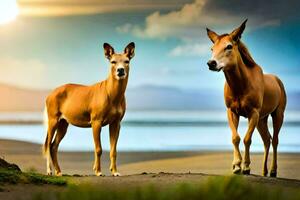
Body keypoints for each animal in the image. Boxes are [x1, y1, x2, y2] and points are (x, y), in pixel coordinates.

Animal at [42, 42, 135, 177]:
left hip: (64, 123)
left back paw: (59, 171)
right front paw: (98, 171)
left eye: (126, 61)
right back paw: (49, 171)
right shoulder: (96, 120)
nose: (120, 70)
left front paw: (115, 172)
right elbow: (98, 148)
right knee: (48, 144)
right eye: (113, 62)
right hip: (53, 118)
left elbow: (114, 150)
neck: (112, 95)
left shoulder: (116, 122)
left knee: (54, 145)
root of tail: (49, 95)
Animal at [206, 19, 286, 177]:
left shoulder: (253, 113)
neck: (241, 85)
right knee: (267, 140)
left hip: (277, 114)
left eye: (229, 46)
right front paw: (236, 166)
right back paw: (264, 171)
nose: (211, 63)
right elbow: (235, 138)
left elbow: (247, 139)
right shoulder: (232, 112)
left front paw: (246, 167)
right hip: (262, 119)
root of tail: (278, 81)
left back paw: (273, 171)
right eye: (212, 48)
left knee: (275, 140)